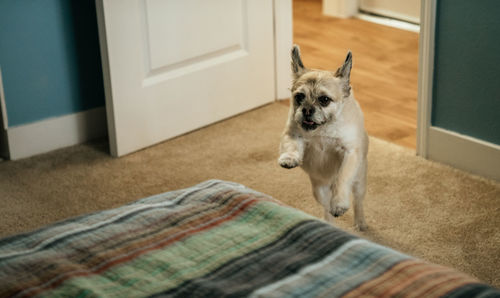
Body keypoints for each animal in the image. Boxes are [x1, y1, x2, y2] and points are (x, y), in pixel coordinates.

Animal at [280, 44, 370, 230]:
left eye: (324, 100)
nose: (307, 109)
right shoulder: (292, 133)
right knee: (327, 207)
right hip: (319, 189)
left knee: (357, 201)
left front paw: (339, 203)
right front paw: (289, 158)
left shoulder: (349, 153)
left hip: (359, 182)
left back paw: (360, 222)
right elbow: (292, 146)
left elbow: (342, 177)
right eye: (299, 97)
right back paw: (330, 223)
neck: (323, 129)